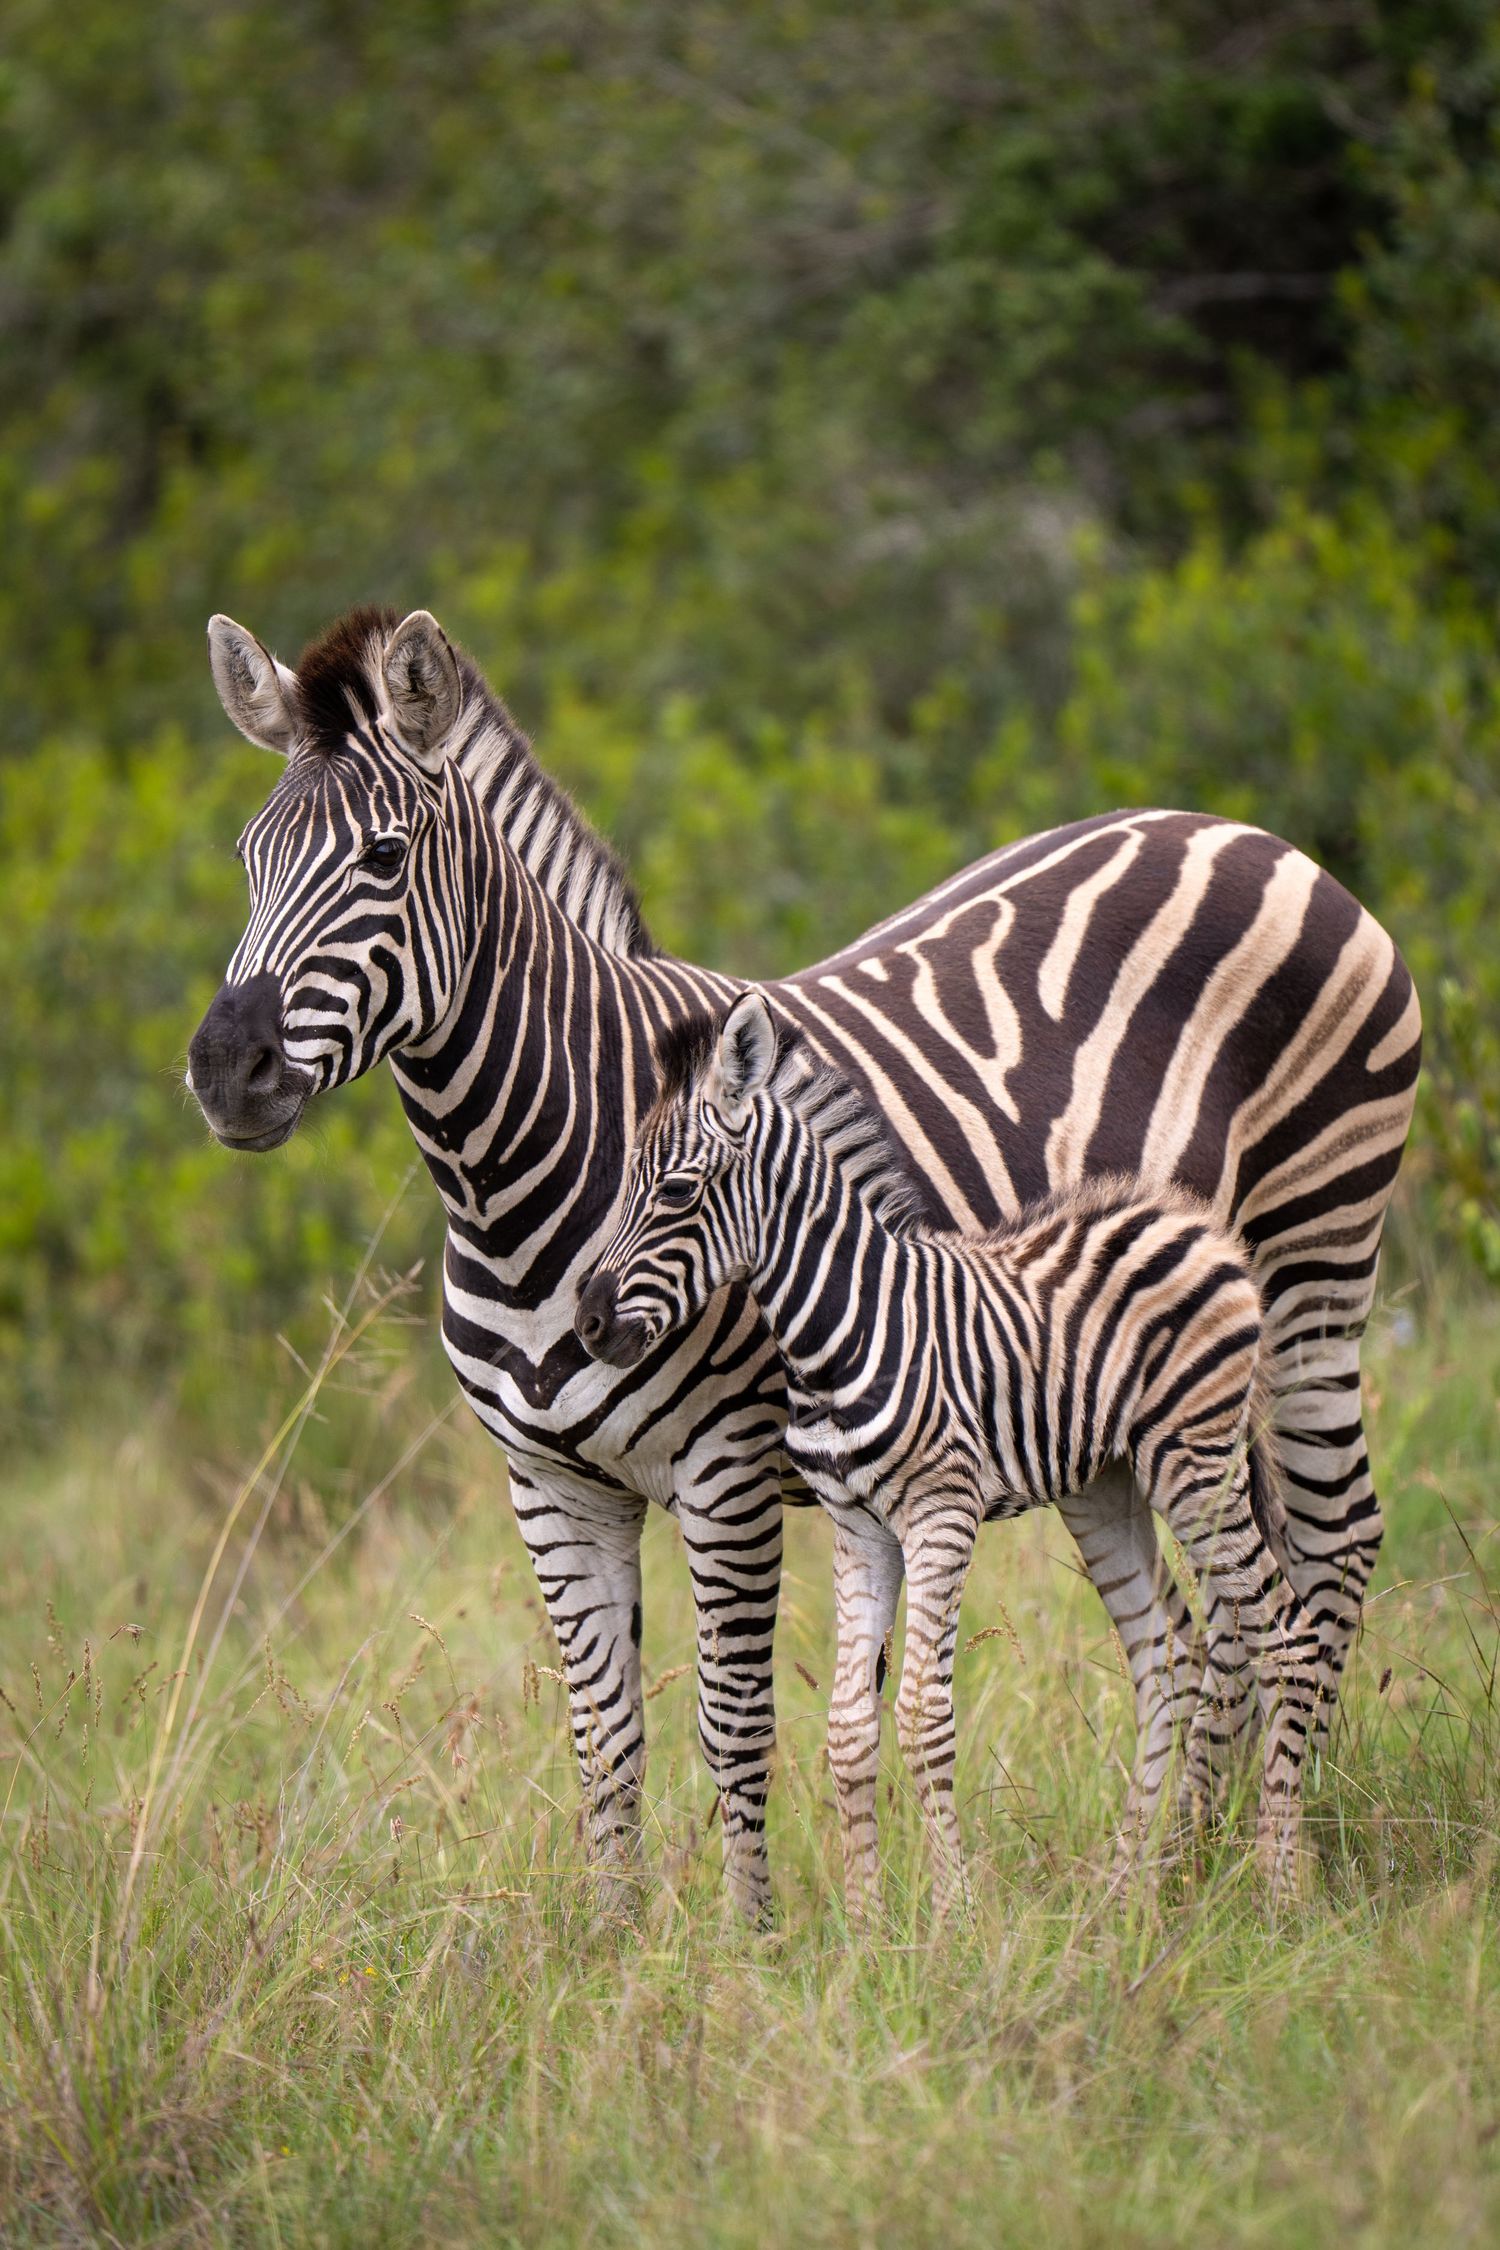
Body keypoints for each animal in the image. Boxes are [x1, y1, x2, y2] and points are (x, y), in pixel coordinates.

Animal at [575, 991, 1321, 1910]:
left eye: (678, 1191)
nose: (588, 1325)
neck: (840, 1328)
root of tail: (1200, 1226)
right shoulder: (858, 1527)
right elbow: (849, 1725)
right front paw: (866, 1921)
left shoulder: (942, 1513)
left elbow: (922, 1714)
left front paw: (953, 1912)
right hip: (1108, 1481)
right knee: (1168, 1660)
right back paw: (1123, 1892)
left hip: (1195, 1460)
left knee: (1286, 1637)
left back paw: (1283, 1884)